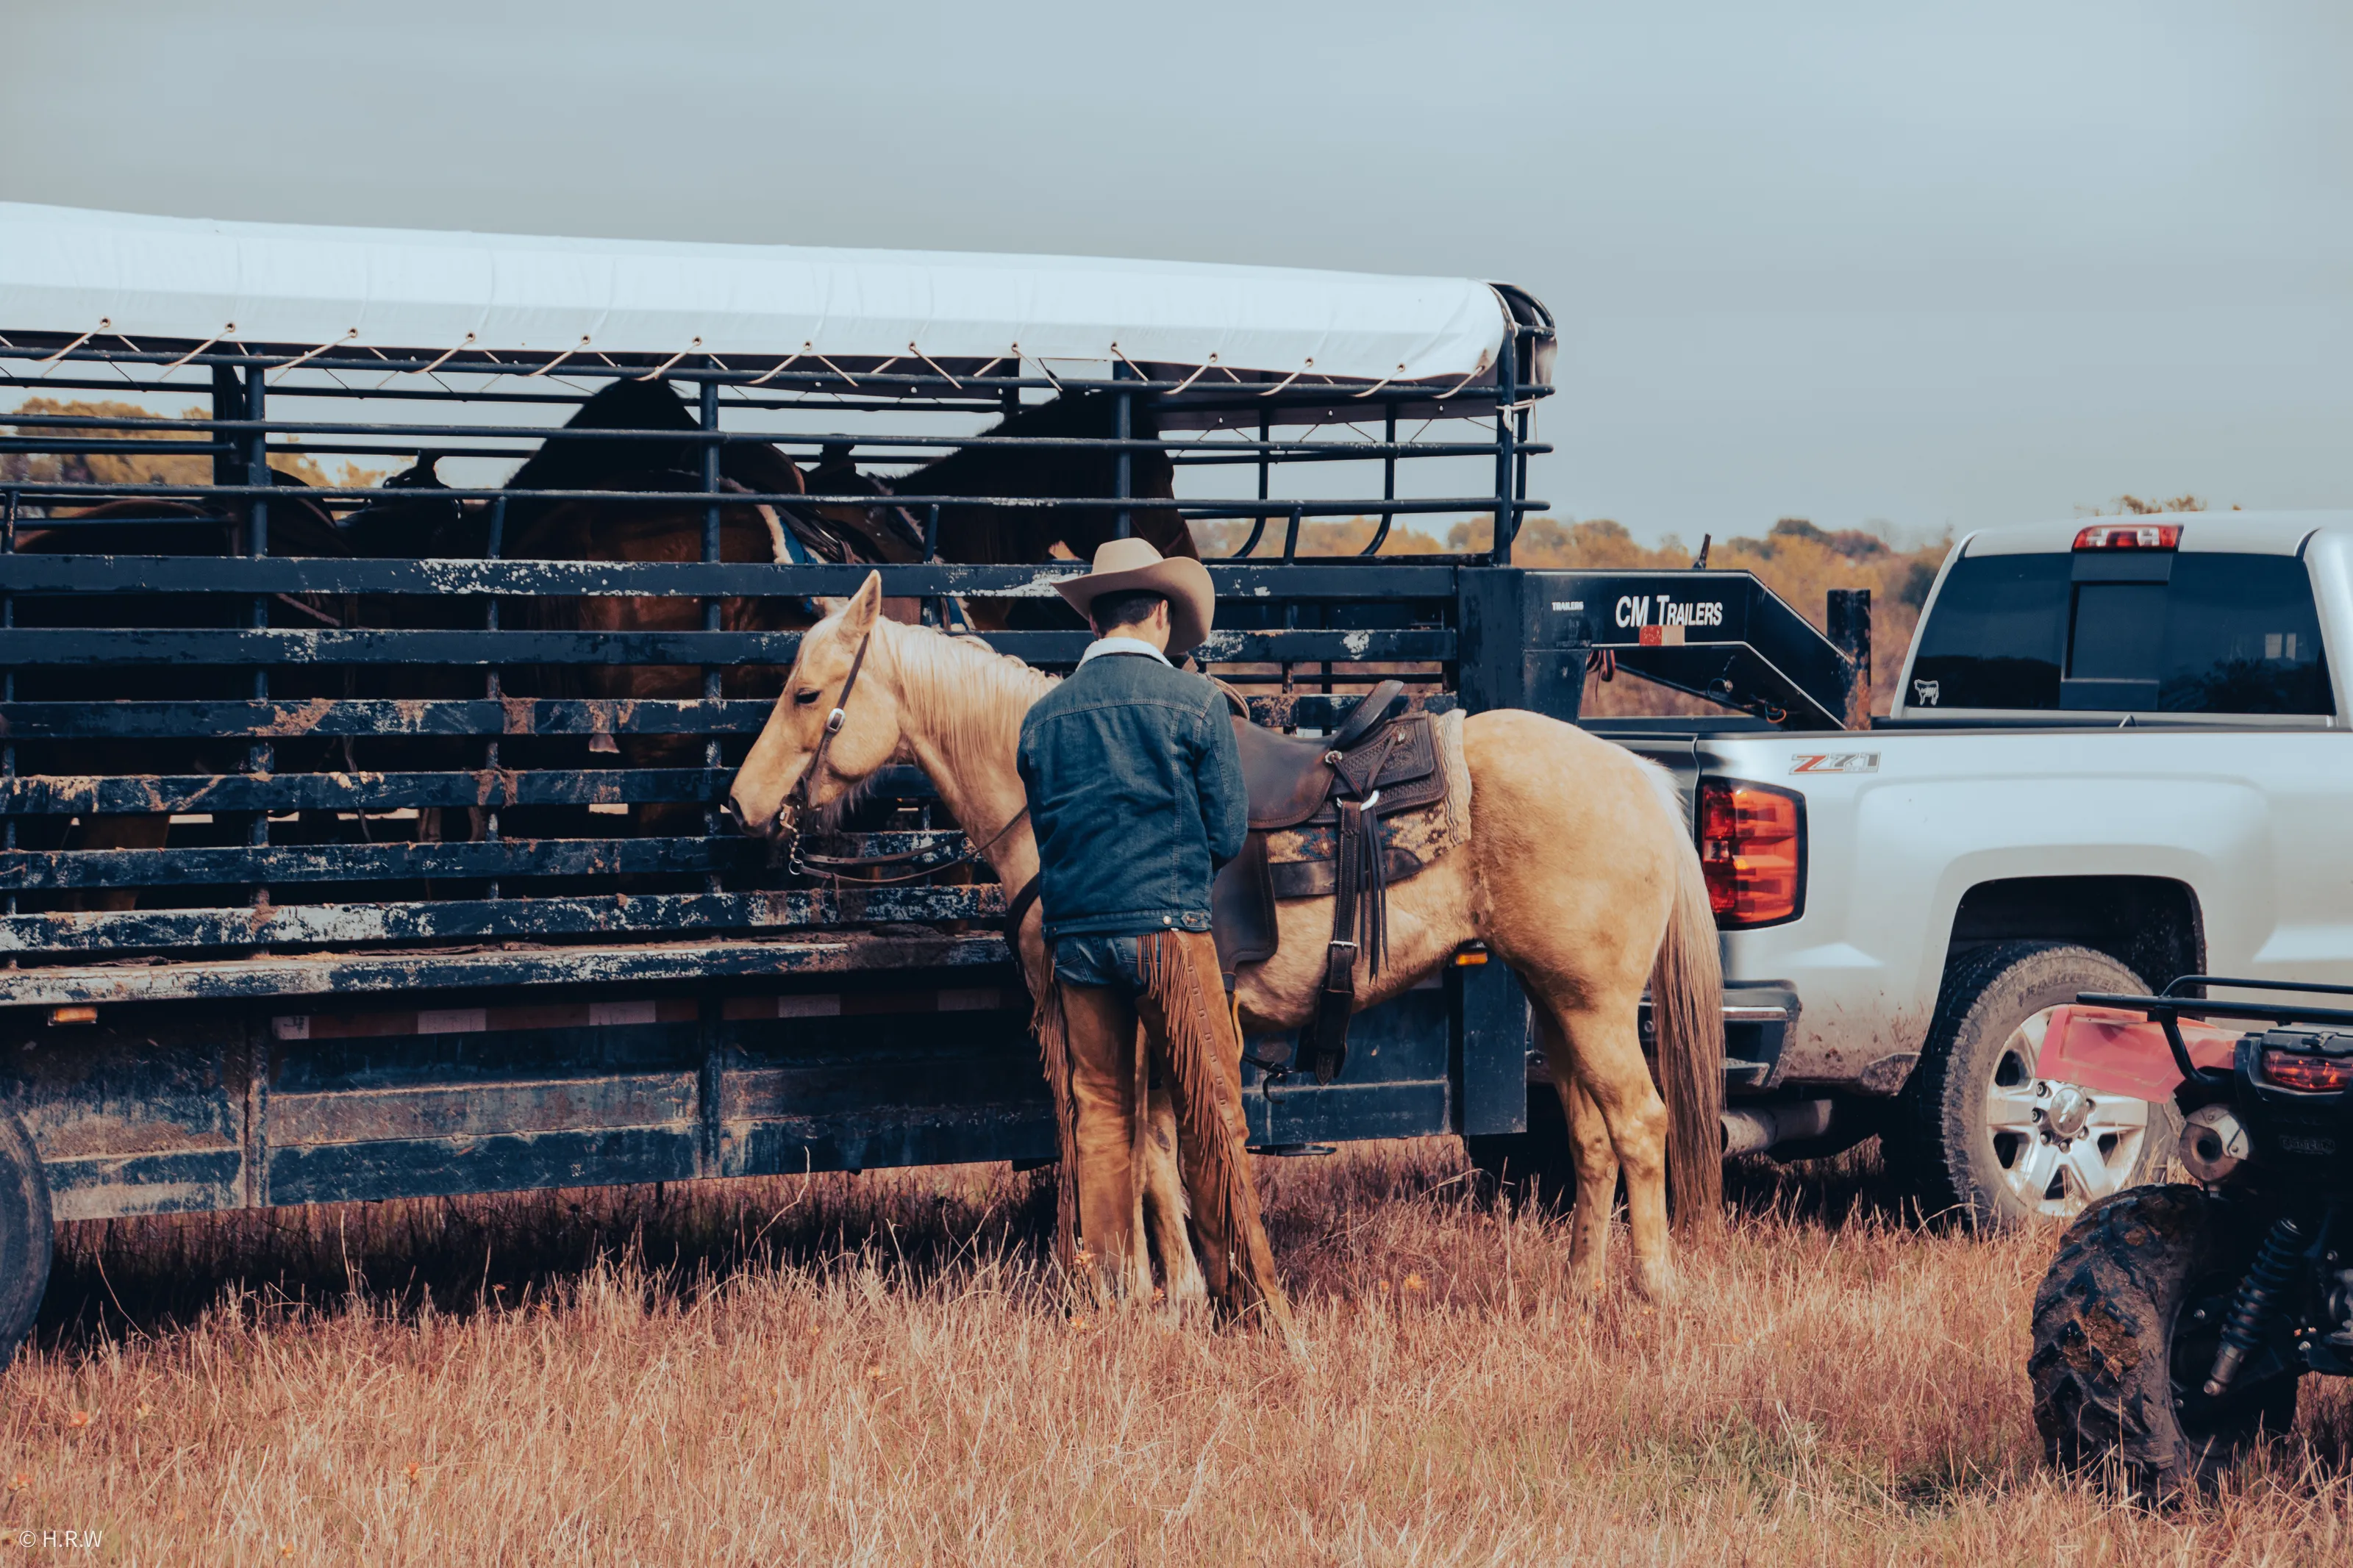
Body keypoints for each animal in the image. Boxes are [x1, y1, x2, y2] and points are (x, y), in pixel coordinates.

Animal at [720, 574, 1726, 1309]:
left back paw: (1655, 1291)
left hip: (1595, 1006)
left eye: (806, 691)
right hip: (1553, 1000)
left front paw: (1149, 1290)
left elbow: (1139, 1149)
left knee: (1642, 1125)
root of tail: (1634, 773)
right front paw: (1183, 1289)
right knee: (1592, 1138)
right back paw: (1579, 1288)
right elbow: (1164, 1151)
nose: (739, 806)